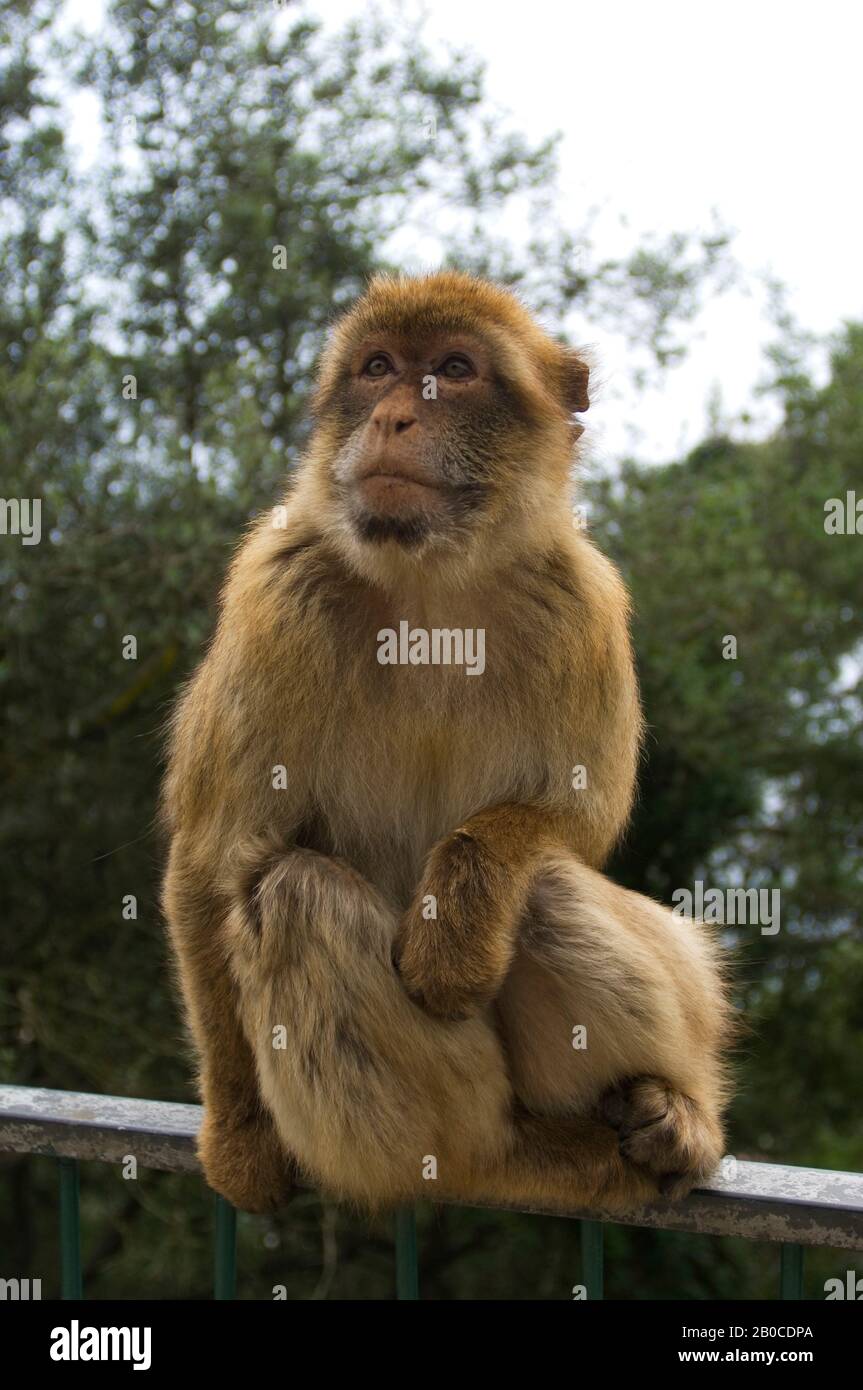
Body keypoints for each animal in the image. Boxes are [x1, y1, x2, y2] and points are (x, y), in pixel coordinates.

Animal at [161, 270, 733, 1217]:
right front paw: (240, 1137)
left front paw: (456, 922)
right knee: (299, 895)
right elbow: (216, 862)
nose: (394, 416)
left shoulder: (581, 602)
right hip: (437, 1105)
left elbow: (570, 822)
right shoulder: (275, 593)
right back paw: (501, 1158)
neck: (429, 588)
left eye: (454, 370)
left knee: (545, 889)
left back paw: (668, 1119)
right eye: (377, 368)